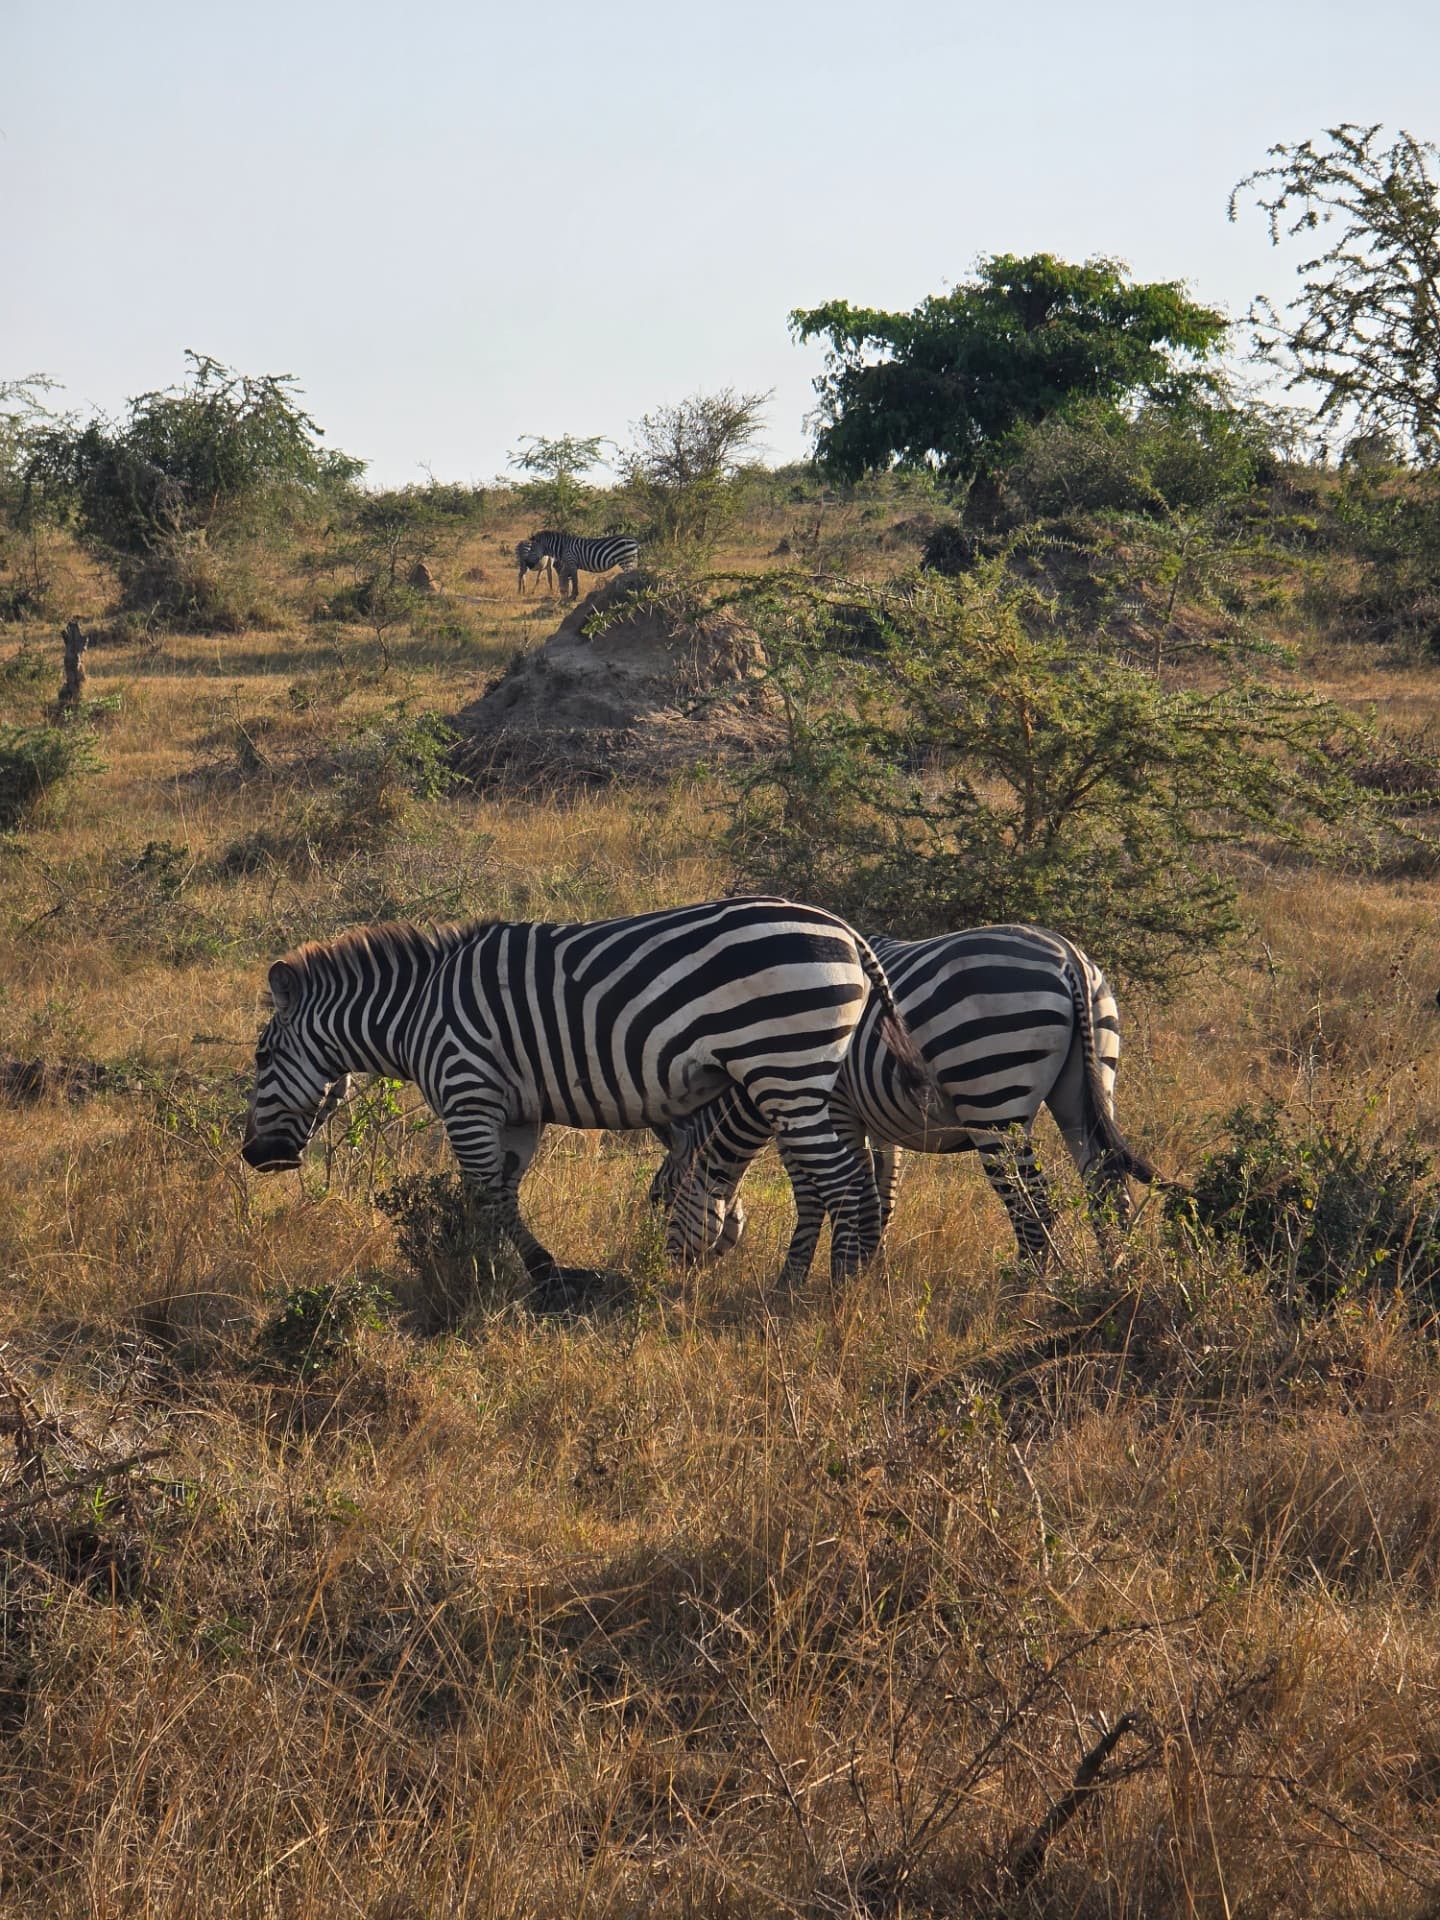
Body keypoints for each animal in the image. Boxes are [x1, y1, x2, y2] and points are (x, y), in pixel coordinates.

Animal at [240, 897, 942, 1291]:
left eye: (262, 1057)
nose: (252, 1157)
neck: (417, 1011)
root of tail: (847, 933)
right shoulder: (515, 1113)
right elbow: (501, 1196)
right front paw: (508, 1270)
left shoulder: (467, 1092)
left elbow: (483, 1196)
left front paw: (490, 1273)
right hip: (804, 1076)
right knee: (850, 1181)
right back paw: (833, 1284)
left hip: (784, 1066)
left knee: (845, 1184)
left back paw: (835, 1296)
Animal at [650, 925, 1154, 1275]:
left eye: (663, 1200)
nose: (667, 1276)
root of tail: (1067, 958)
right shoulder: (874, 1119)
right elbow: (880, 1195)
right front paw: (865, 1272)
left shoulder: (821, 1111)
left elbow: (818, 1197)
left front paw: (803, 1283)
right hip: (1087, 1088)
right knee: (1107, 1189)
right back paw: (1115, 1280)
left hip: (993, 1092)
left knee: (1035, 1202)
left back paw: (1029, 1288)